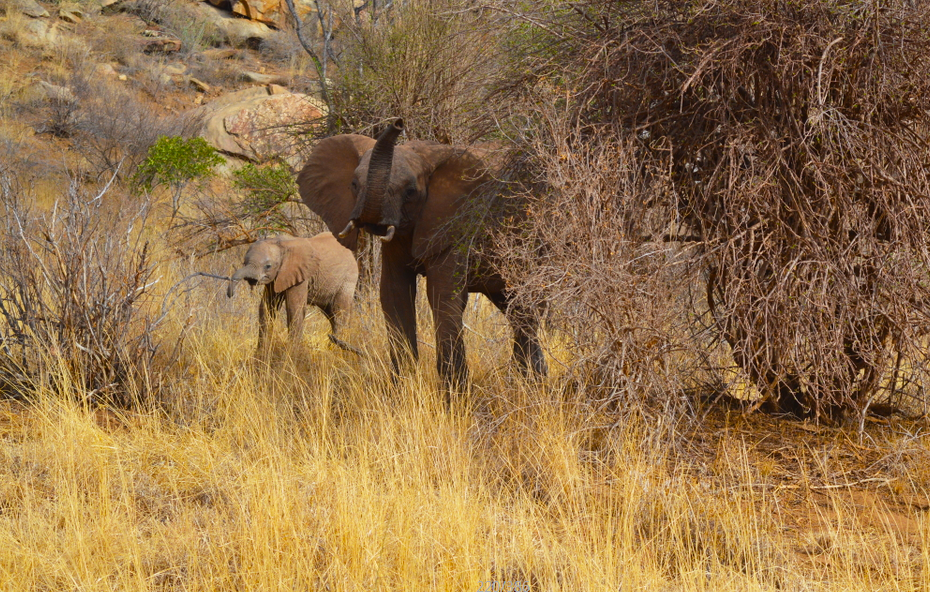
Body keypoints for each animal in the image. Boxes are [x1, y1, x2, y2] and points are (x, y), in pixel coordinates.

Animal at [226, 231, 358, 352]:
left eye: (268, 266)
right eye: (244, 262)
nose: (230, 294)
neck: (280, 243)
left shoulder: (301, 275)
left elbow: (294, 308)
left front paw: (292, 355)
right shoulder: (276, 278)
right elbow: (267, 307)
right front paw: (260, 355)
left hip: (347, 280)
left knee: (339, 311)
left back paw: (336, 349)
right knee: (331, 314)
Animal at [298, 119, 544, 388]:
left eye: (410, 192)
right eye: (353, 185)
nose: (398, 122)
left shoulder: (454, 223)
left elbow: (442, 295)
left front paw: (455, 392)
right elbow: (394, 293)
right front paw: (402, 386)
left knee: (528, 306)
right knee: (515, 308)